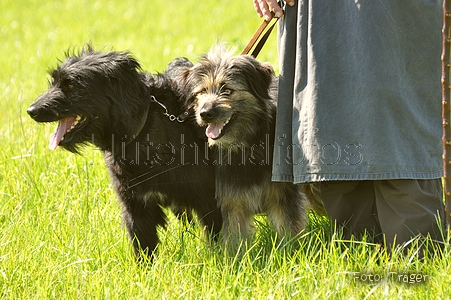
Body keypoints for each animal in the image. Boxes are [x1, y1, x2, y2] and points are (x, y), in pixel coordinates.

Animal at [26, 46, 222, 260]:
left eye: (71, 85)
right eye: (54, 82)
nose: (31, 110)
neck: (143, 129)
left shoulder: (209, 199)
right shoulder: (135, 207)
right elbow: (144, 249)